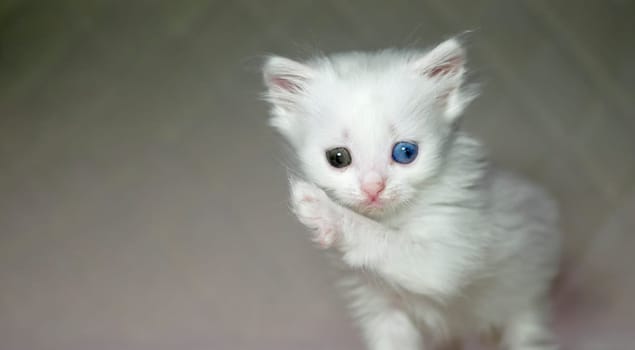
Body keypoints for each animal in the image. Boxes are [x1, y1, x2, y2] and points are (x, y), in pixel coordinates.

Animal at [264, 38, 560, 350]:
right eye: (338, 158)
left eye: (405, 152)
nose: (373, 187)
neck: (390, 218)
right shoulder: (378, 306)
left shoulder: (449, 249)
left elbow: (384, 240)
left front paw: (325, 212)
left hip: (527, 303)